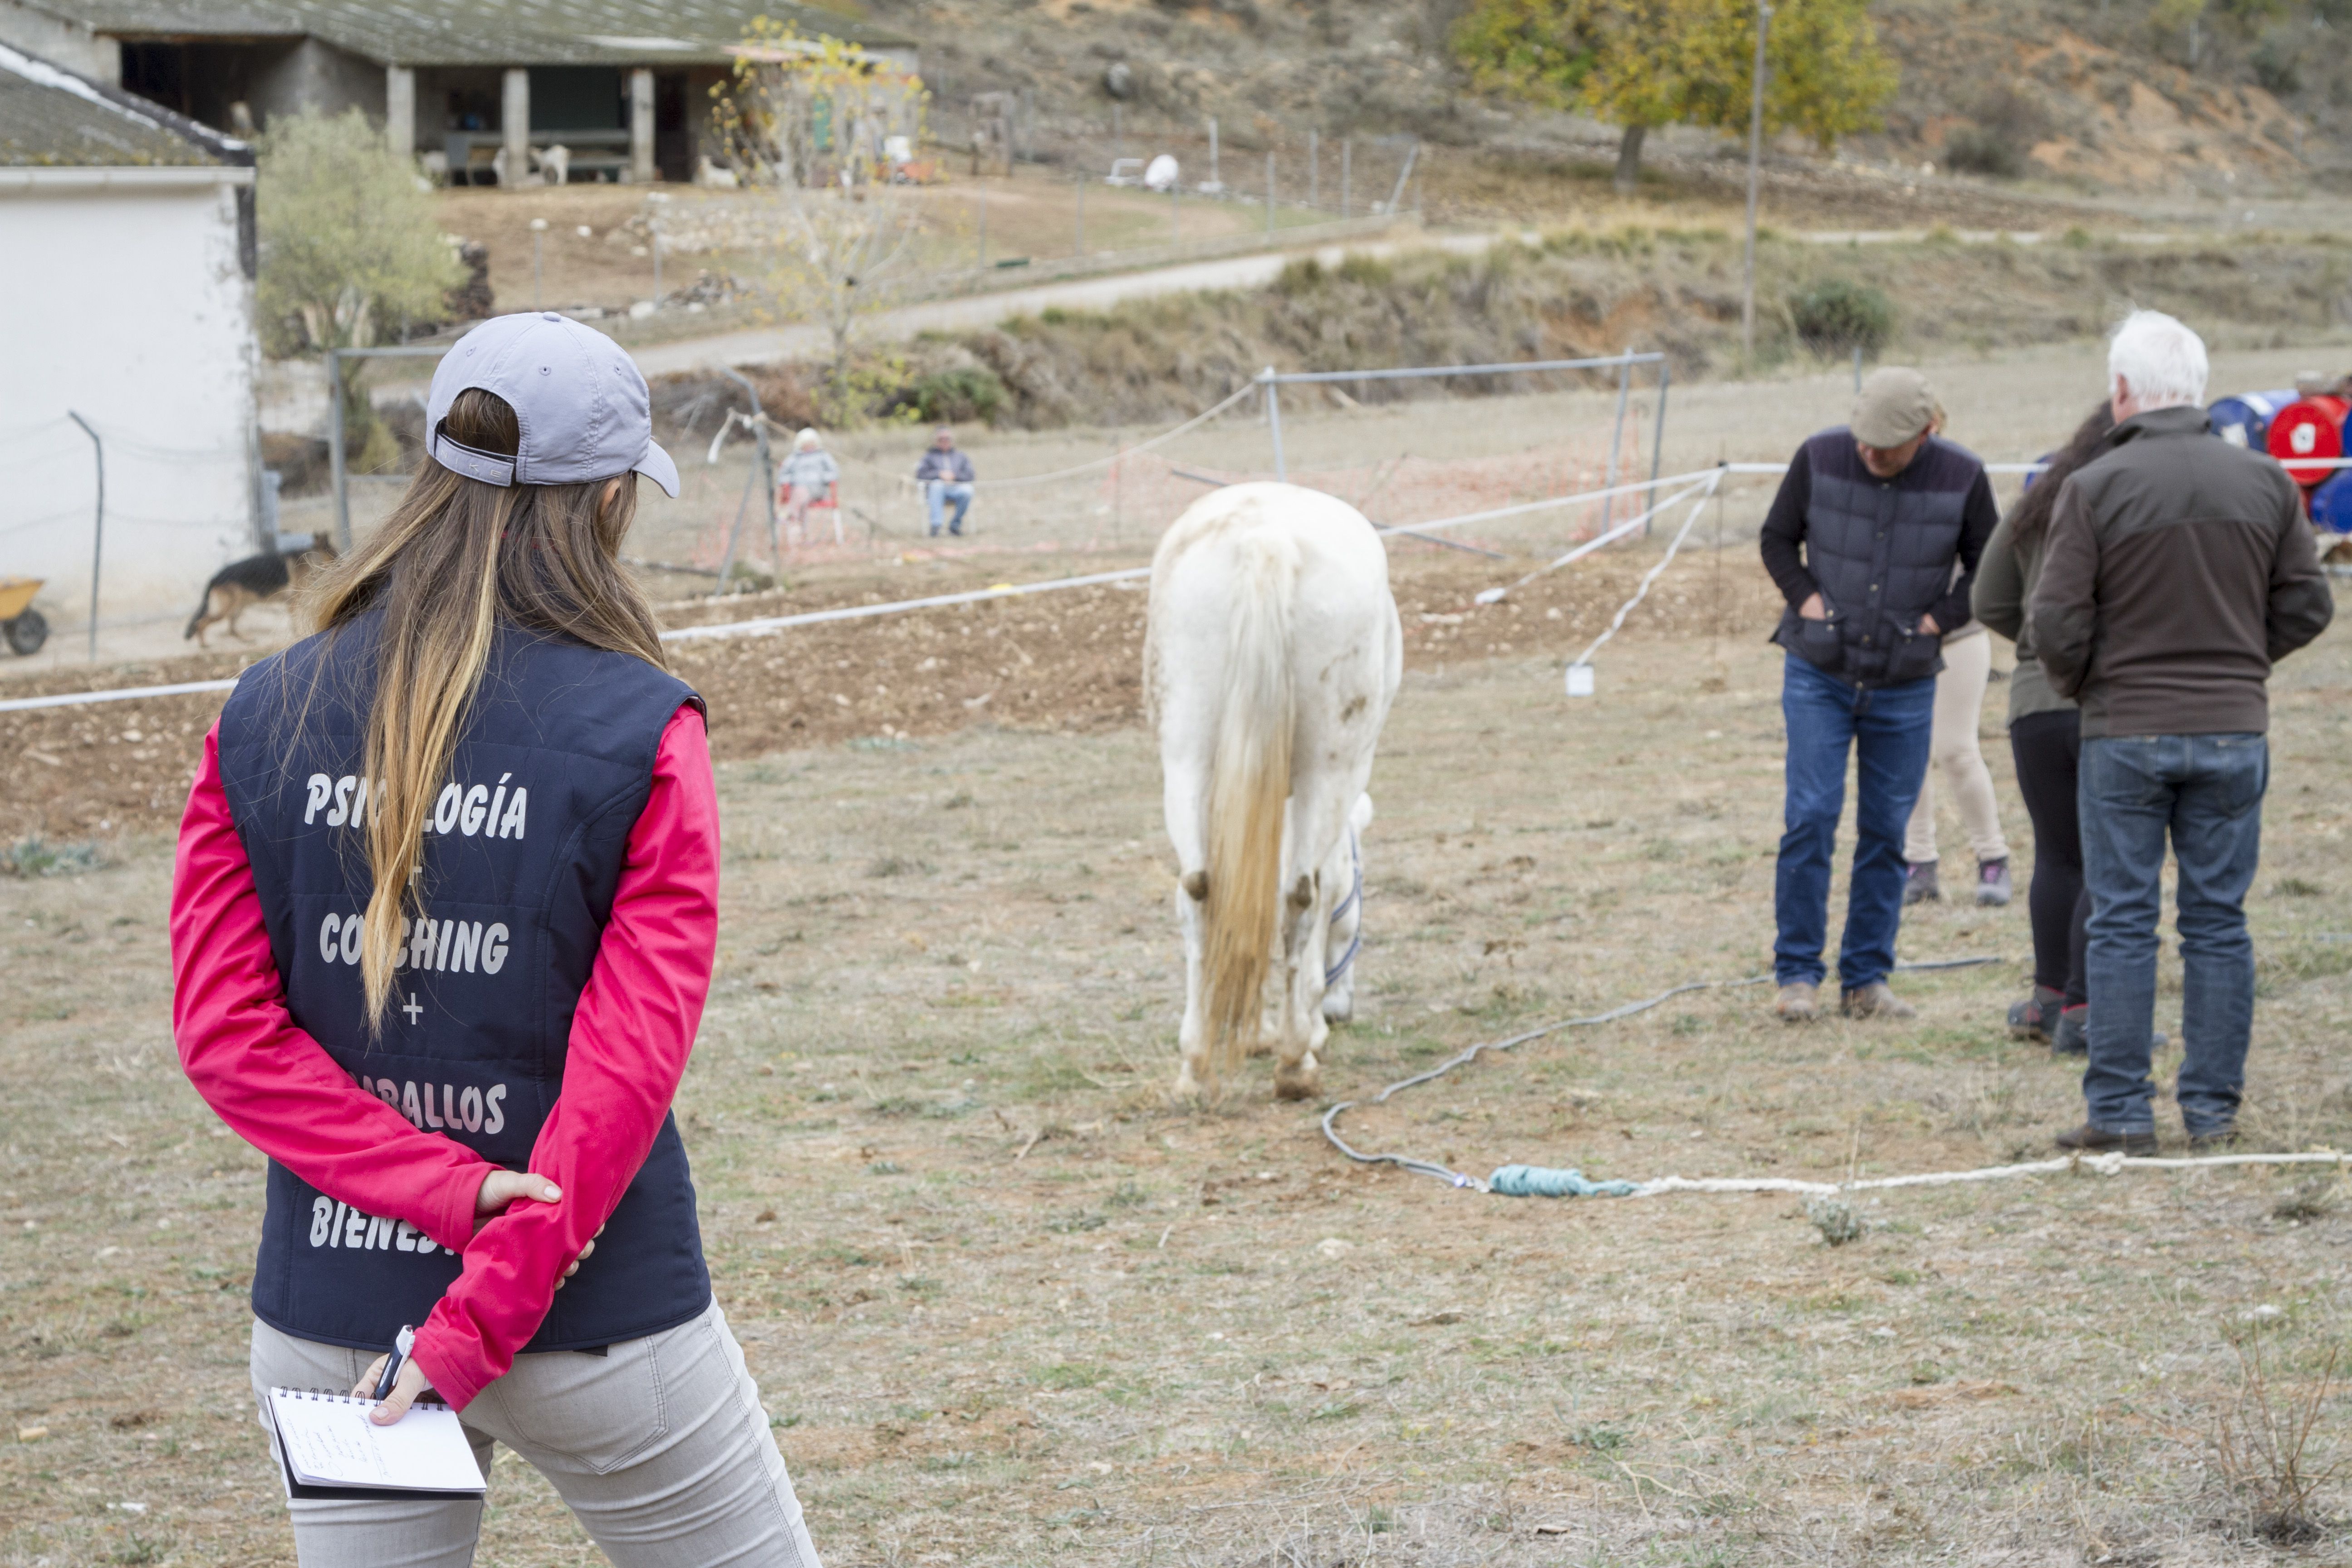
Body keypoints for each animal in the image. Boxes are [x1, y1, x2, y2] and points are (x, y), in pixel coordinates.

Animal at [186, 534, 338, 644]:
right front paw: (299, 636)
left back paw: (245, 639)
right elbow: (296, 622)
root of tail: (215, 577)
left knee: (231, 629)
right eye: (335, 554)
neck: (313, 558)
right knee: (202, 623)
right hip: (227, 608)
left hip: (239, 607)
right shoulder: (293, 602)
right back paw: (204, 645)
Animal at [1147, 484, 1401, 1100]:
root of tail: (1266, 537)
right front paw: (1304, 1031)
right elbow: (1321, 886)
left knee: (1198, 891)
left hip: (1186, 757)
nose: (1340, 1012)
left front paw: (1256, 1032)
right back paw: (1295, 1063)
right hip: (1329, 767)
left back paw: (1196, 1064)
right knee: (1299, 894)